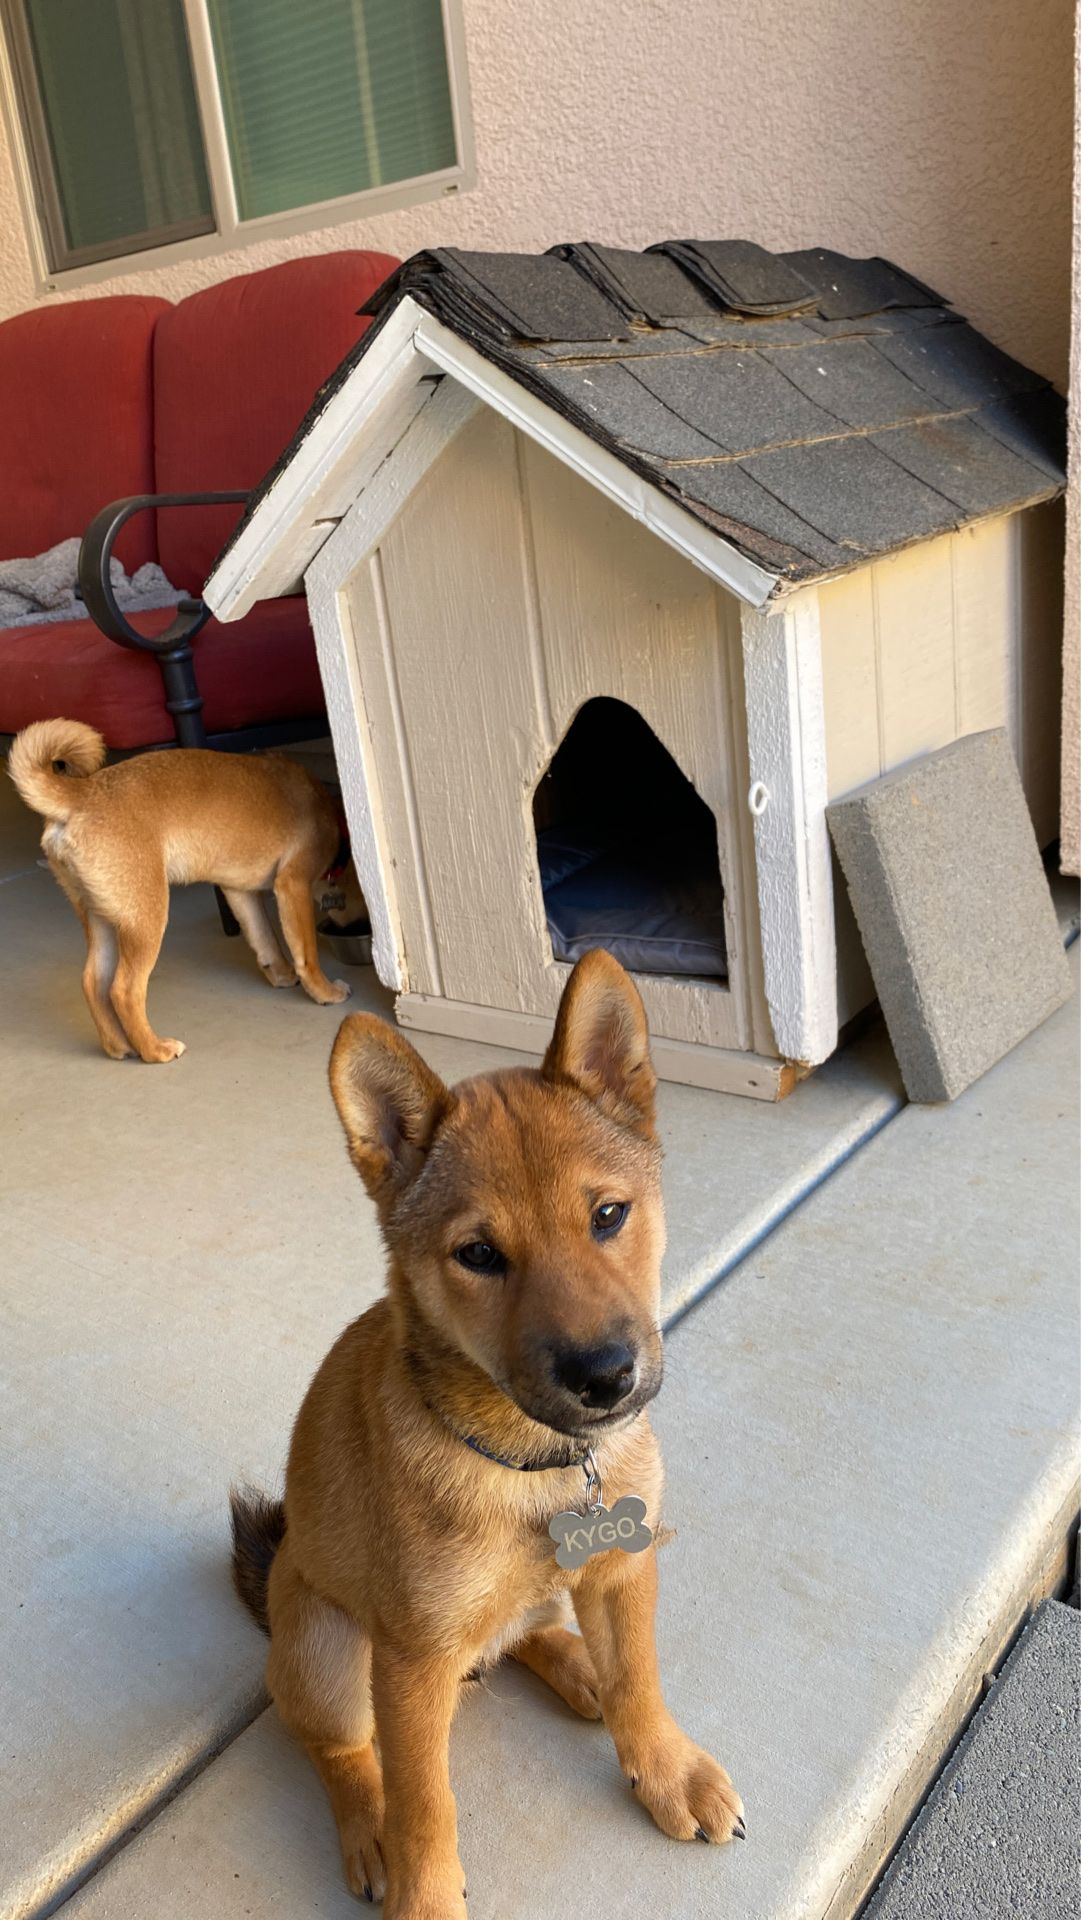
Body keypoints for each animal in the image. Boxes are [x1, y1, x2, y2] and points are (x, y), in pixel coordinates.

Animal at [9, 718, 355, 1059]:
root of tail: (81, 794)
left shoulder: (240, 894)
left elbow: (265, 940)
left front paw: (282, 974)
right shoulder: (292, 886)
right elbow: (306, 954)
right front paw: (324, 990)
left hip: (101, 916)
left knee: (94, 982)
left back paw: (120, 1046)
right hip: (145, 919)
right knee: (124, 990)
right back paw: (154, 1049)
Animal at [233, 948, 748, 1920]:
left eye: (608, 1216)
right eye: (478, 1255)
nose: (604, 1376)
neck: (538, 1464)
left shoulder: (621, 1570)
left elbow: (640, 1679)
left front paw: (664, 1766)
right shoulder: (410, 1665)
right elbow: (424, 1804)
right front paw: (422, 1894)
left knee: (527, 1629)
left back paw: (578, 1666)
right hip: (328, 1651)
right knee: (340, 1752)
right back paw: (368, 1833)